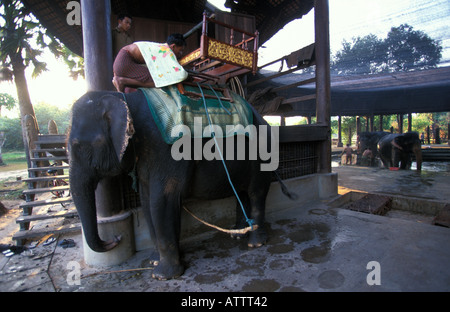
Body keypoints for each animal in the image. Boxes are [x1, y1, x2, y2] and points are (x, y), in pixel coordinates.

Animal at [67, 88, 294, 280]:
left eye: (79, 147)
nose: (115, 238)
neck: (124, 99)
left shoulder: (165, 149)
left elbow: (162, 201)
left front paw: (162, 275)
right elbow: (147, 201)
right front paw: (155, 260)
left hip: (262, 153)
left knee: (256, 192)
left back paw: (255, 243)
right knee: (242, 192)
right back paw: (237, 234)